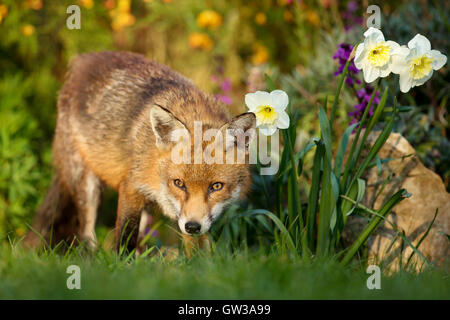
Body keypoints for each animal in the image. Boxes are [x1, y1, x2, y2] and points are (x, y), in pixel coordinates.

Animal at [24, 50, 255, 255]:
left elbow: (197, 251)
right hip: (86, 186)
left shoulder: (186, 215)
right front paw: (120, 266)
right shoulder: (131, 186)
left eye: (216, 186)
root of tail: (81, 60)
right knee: (86, 235)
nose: (192, 226)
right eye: (179, 183)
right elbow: (125, 236)